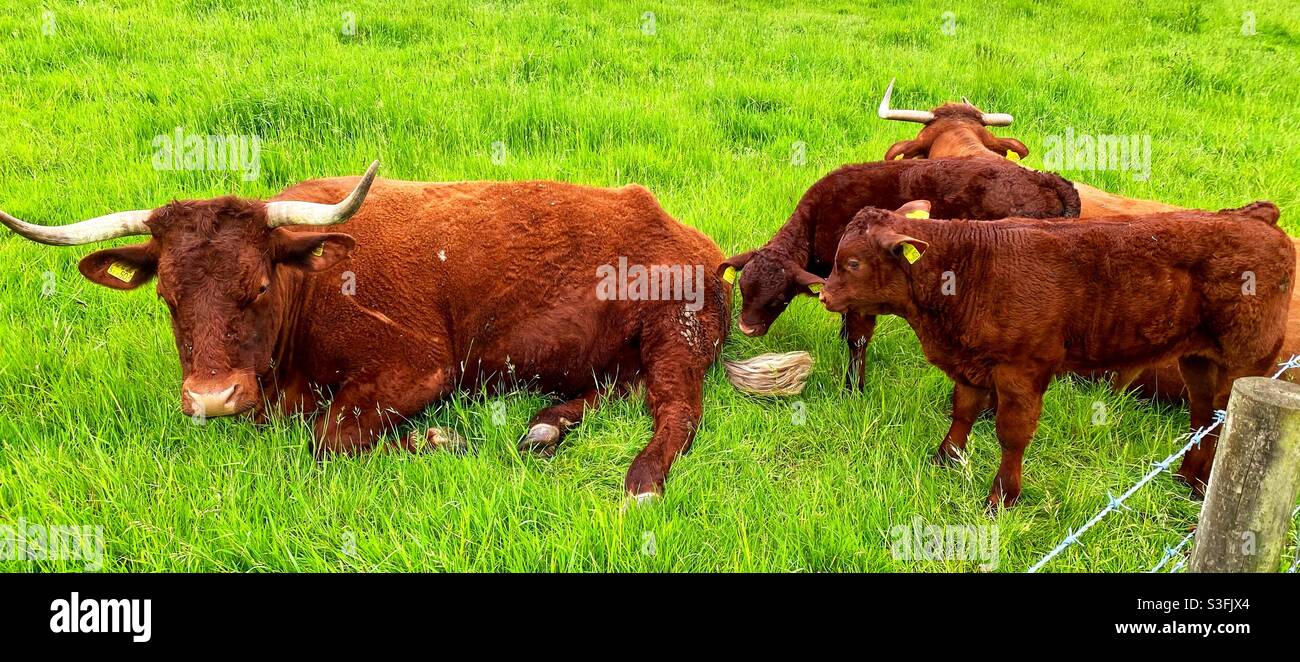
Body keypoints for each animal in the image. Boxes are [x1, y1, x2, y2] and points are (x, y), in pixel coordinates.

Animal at [0, 162, 754, 501]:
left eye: (259, 285)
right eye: (167, 297)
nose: (213, 397)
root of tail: (695, 240)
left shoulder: (420, 367)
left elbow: (328, 439)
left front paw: (439, 439)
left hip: (675, 335)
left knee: (676, 411)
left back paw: (642, 480)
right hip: (618, 357)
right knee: (616, 392)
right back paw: (546, 426)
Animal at [718, 157, 1079, 388]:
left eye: (778, 298)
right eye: (743, 289)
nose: (747, 328)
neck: (816, 221)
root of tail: (1045, 178)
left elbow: (858, 339)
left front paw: (853, 389)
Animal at [817, 201, 1294, 507]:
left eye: (853, 262)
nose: (823, 294)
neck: (967, 268)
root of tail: (1254, 218)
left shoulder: (1022, 371)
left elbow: (1012, 434)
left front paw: (1001, 498)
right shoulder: (971, 365)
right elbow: (963, 411)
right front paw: (945, 460)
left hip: (1246, 362)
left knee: (1224, 419)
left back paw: (1199, 488)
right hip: (1197, 360)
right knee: (1202, 418)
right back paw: (1188, 480)